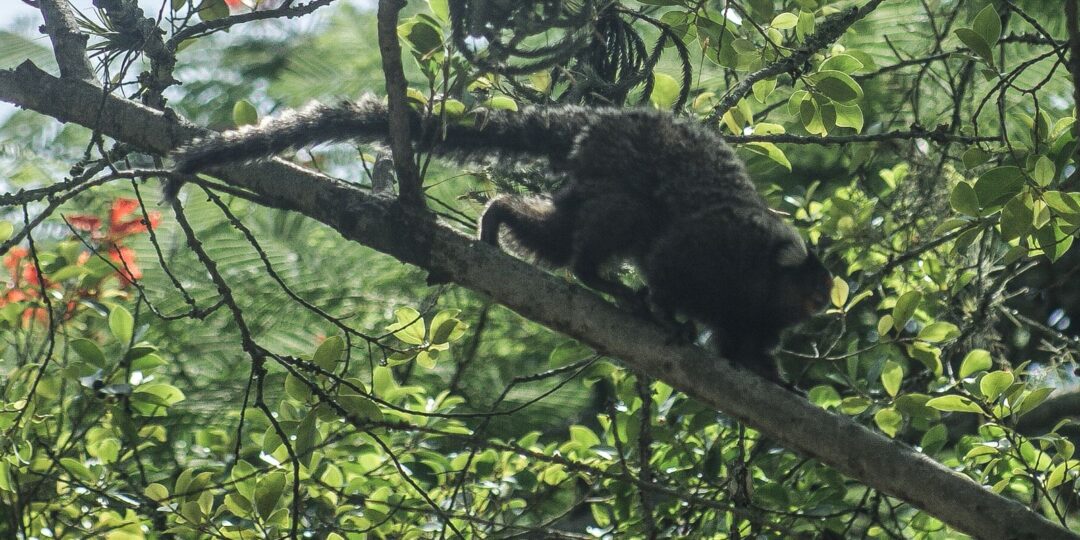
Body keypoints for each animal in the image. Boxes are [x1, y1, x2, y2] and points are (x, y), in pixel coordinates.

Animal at [172, 96, 833, 384]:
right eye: (816, 286)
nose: (827, 305)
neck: (761, 279)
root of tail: (601, 120)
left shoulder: (754, 317)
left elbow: (743, 347)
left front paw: (772, 377)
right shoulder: (716, 249)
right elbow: (669, 264)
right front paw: (667, 315)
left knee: (560, 231)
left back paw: (500, 216)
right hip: (619, 168)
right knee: (625, 220)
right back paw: (601, 280)